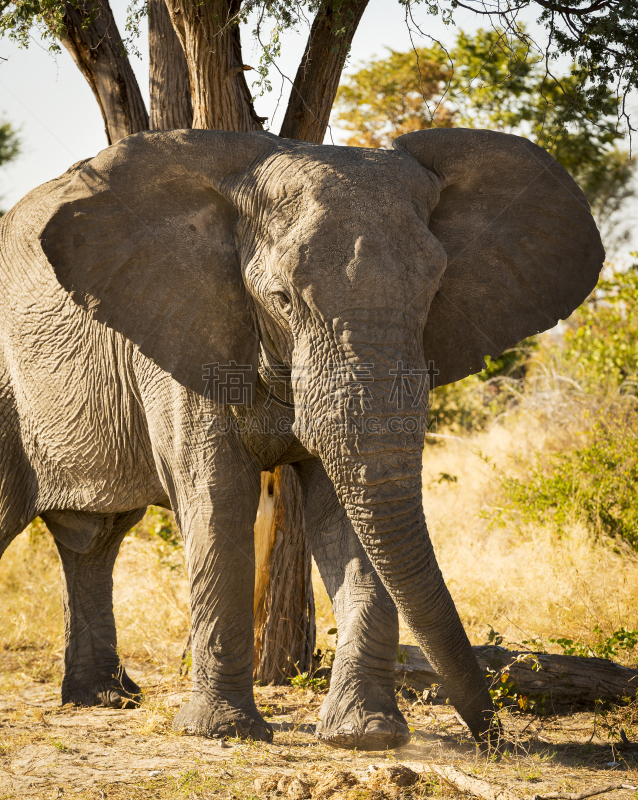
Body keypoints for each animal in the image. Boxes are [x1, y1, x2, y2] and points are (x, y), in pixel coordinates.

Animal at [0, 130, 604, 752]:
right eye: (283, 299)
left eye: (434, 292)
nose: (497, 738)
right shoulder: (181, 332)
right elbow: (218, 499)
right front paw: (224, 733)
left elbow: (351, 510)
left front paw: (366, 736)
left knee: (94, 539)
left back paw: (104, 698)